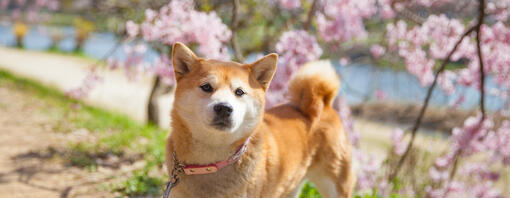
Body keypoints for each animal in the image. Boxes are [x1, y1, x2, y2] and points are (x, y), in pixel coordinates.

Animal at [166, 42, 354, 197]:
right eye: (206, 87)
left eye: (239, 92)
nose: (224, 108)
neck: (211, 163)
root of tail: (324, 105)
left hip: (335, 184)